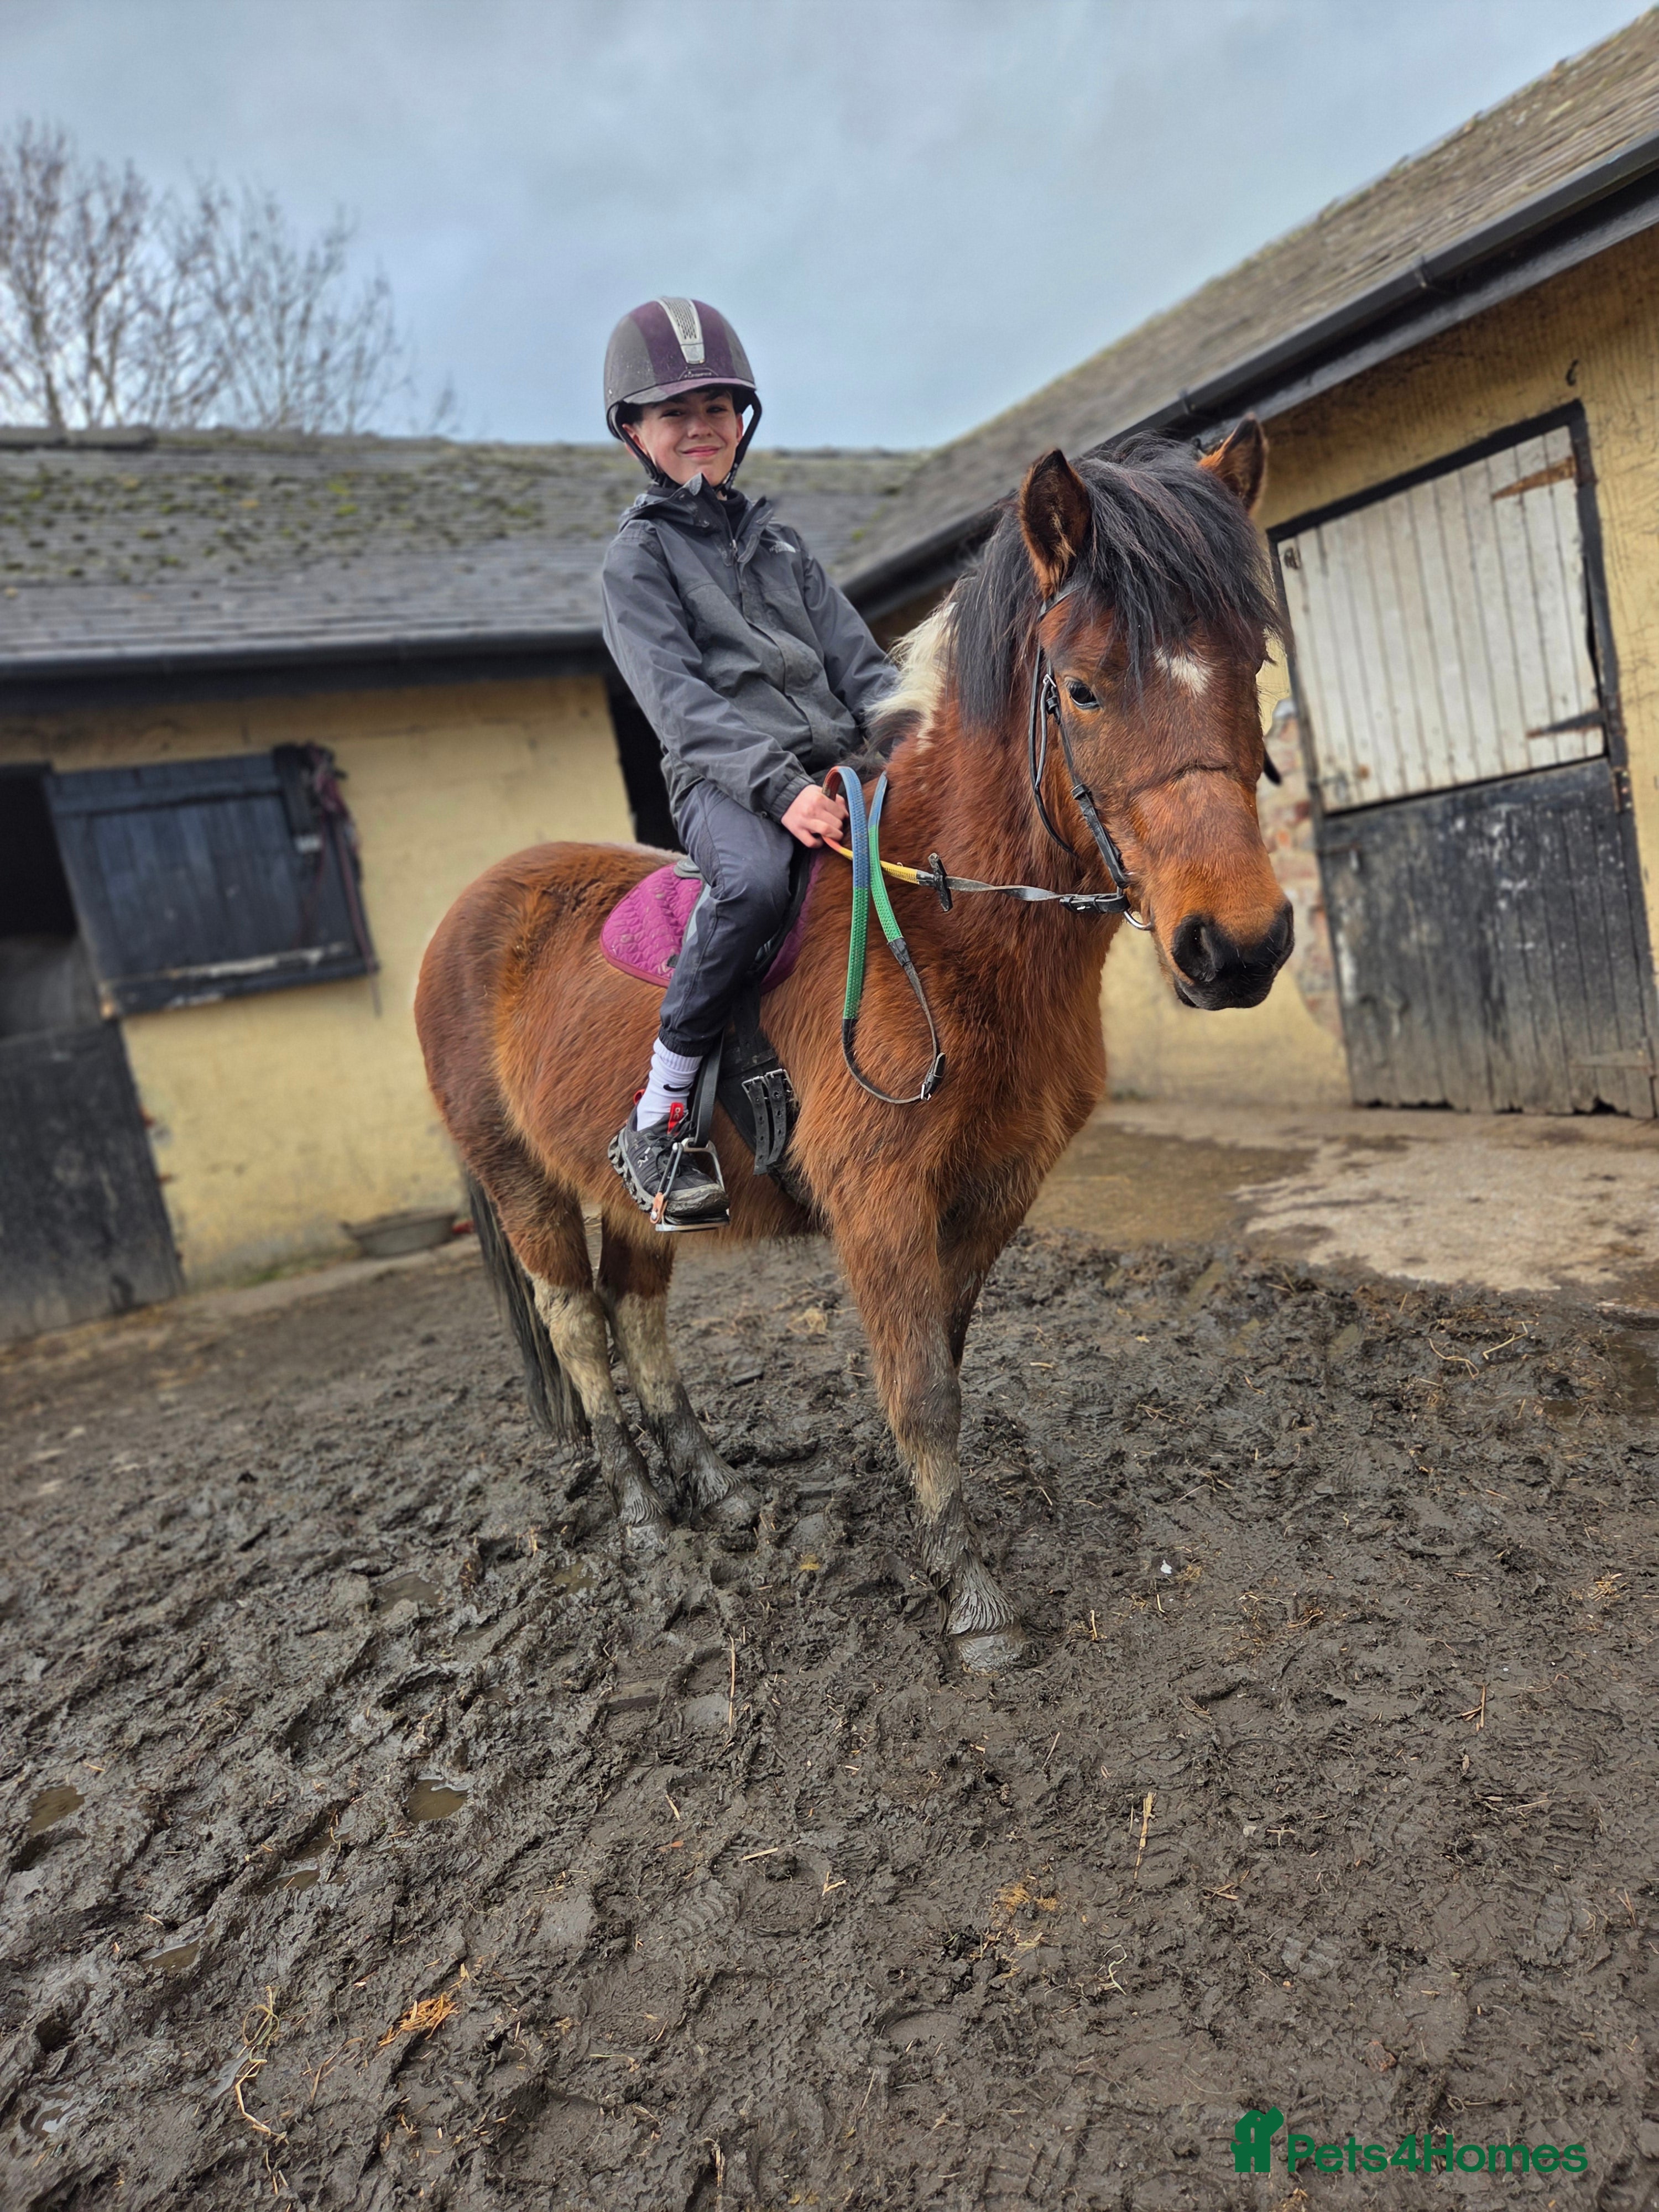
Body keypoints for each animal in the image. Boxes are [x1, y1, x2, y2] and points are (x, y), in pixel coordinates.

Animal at [414, 419, 1291, 1671]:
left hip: (633, 1193)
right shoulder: (880, 1200)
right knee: (579, 1327)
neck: (949, 923)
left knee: (638, 1312)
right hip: (523, 1184)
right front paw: (975, 1603)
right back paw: (645, 1520)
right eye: (1081, 689)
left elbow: (945, 1358)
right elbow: (921, 1387)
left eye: (1251, 667)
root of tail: (467, 913)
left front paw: (930, 1536)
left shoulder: (994, 1190)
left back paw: (715, 1488)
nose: (1239, 948)